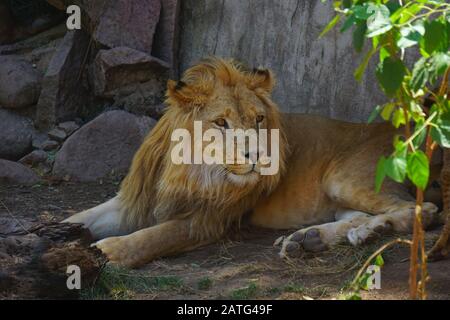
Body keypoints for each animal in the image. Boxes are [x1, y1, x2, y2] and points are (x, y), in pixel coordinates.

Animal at [63, 57, 442, 268]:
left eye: (259, 119)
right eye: (221, 122)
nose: (259, 155)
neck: (190, 170)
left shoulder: (208, 220)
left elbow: (153, 237)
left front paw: (108, 251)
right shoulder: (133, 201)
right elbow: (79, 218)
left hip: (344, 178)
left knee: (421, 210)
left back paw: (366, 231)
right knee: (364, 215)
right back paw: (314, 239)